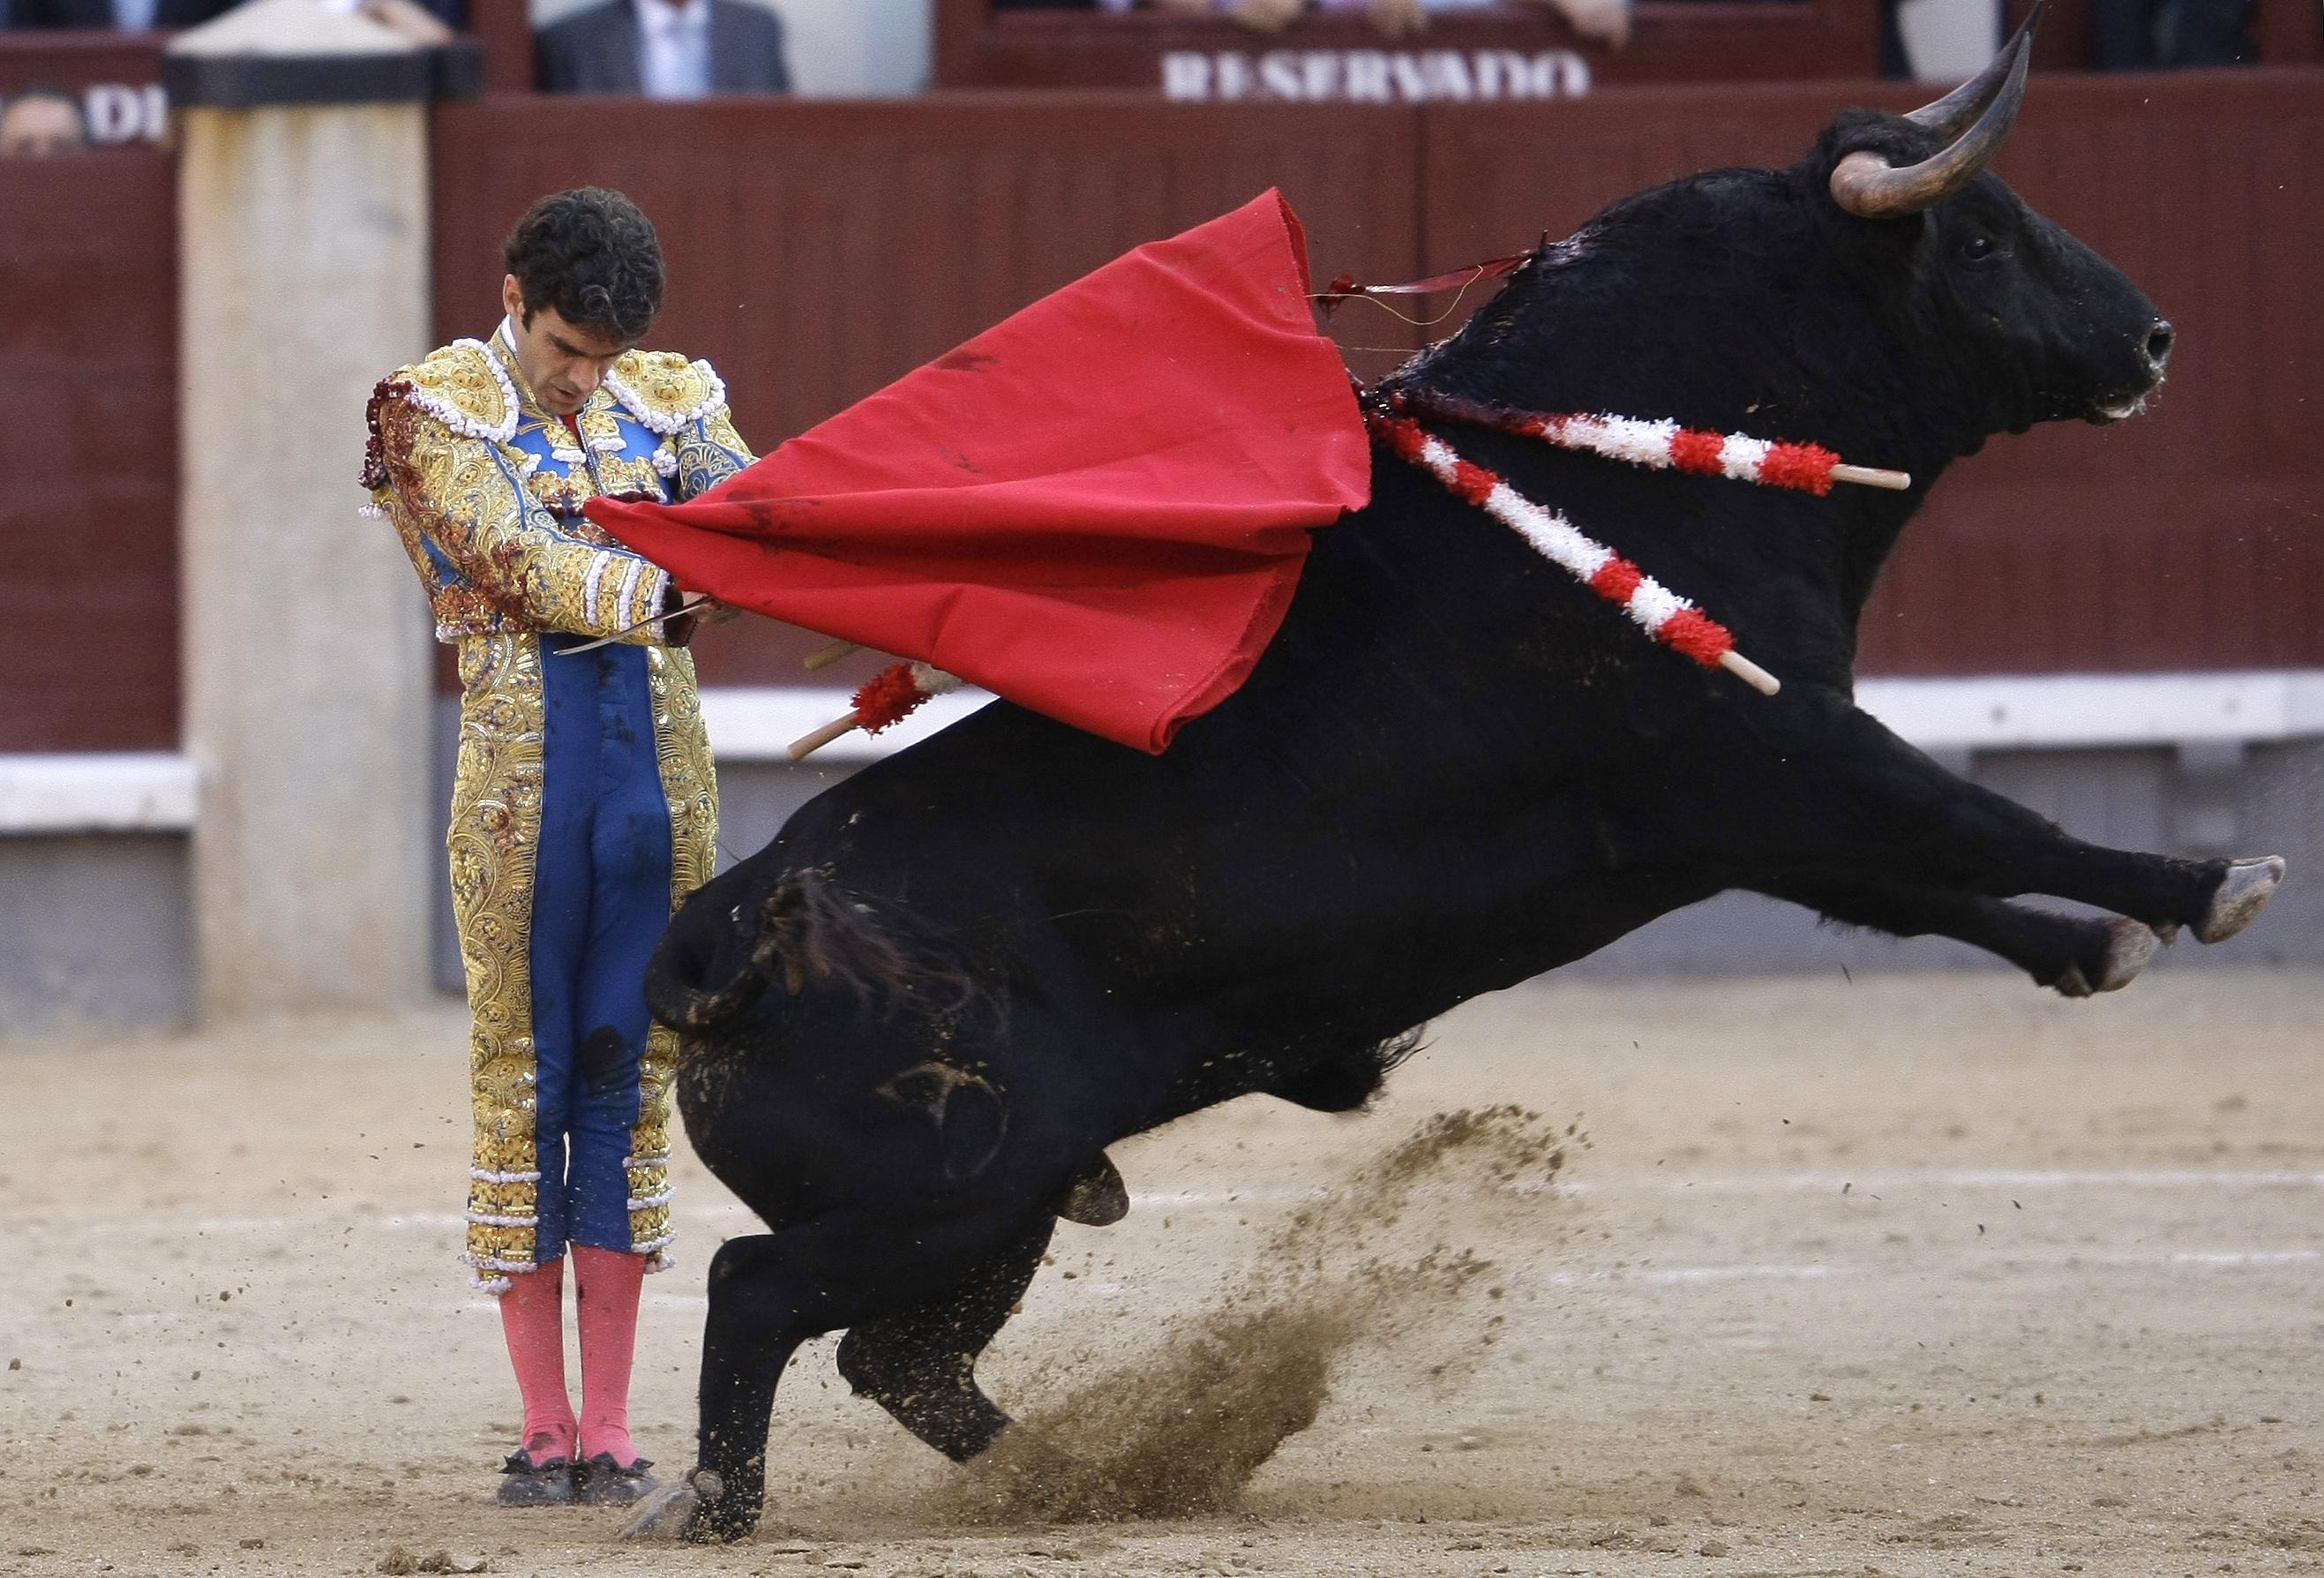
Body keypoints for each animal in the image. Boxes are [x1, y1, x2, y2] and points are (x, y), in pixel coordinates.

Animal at [622, 34, 2286, 1543]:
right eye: (1983, 235)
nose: (2150, 340)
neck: (1631, 466)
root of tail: (724, 939)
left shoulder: (1746, 815)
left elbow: (1923, 882)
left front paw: (2098, 945)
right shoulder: (1783, 755)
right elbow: (1980, 821)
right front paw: (2209, 886)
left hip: (1004, 1204)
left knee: (896, 1359)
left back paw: (1082, 1478)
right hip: (945, 1193)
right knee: (760, 1294)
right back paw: (725, 1504)